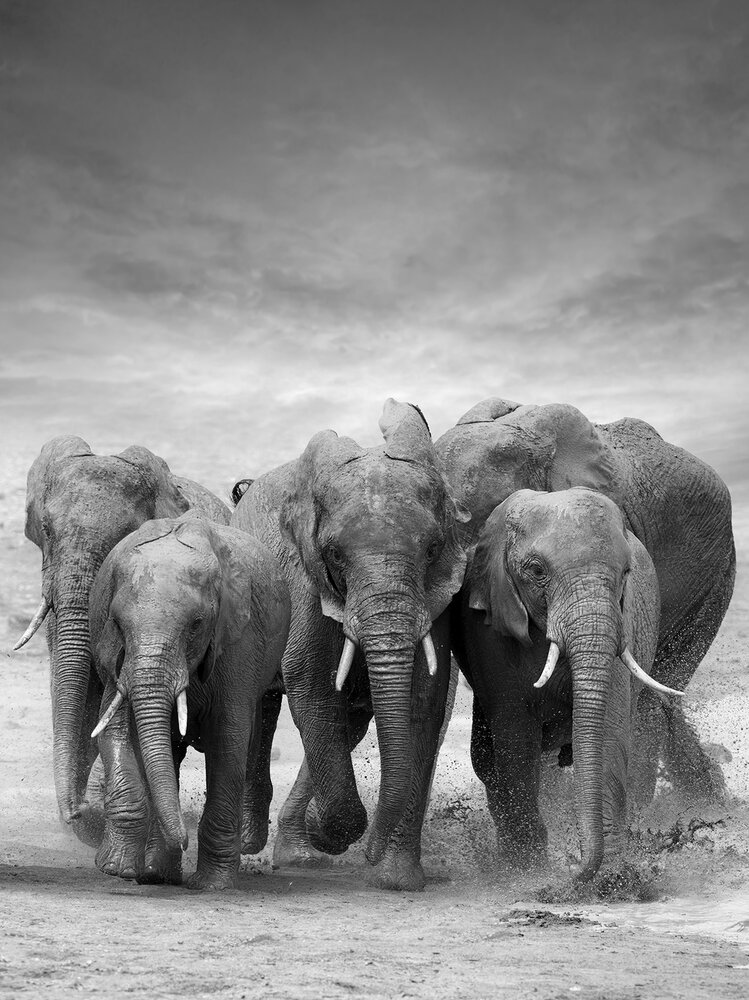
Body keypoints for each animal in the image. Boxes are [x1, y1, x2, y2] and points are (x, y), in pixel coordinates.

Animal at [89, 513, 290, 889]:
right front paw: (117, 869)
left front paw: (212, 885)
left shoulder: (238, 640)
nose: (182, 840)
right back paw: (155, 871)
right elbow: (115, 729)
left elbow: (228, 737)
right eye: (117, 623)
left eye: (196, 624)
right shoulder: (115, 655)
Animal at [232, 399, 469, 890]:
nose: (371, 855)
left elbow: (423, 698)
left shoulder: (435, 598)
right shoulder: (303, 579)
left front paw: (397, 881)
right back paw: (250, 841)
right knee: (260, 706)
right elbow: (311, 681)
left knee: (349, 722)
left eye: (432, 550)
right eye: (335, 555)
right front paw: (333, 832)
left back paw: (301, 853)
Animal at [454, 487, 680, 881]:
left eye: (626, 572)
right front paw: (529, 871)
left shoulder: (622, 624)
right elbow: (515, 738)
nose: (572, 867)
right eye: (536, 571)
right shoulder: (490, 632)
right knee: (487, 760)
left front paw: (614, 879)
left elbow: (608, 731)